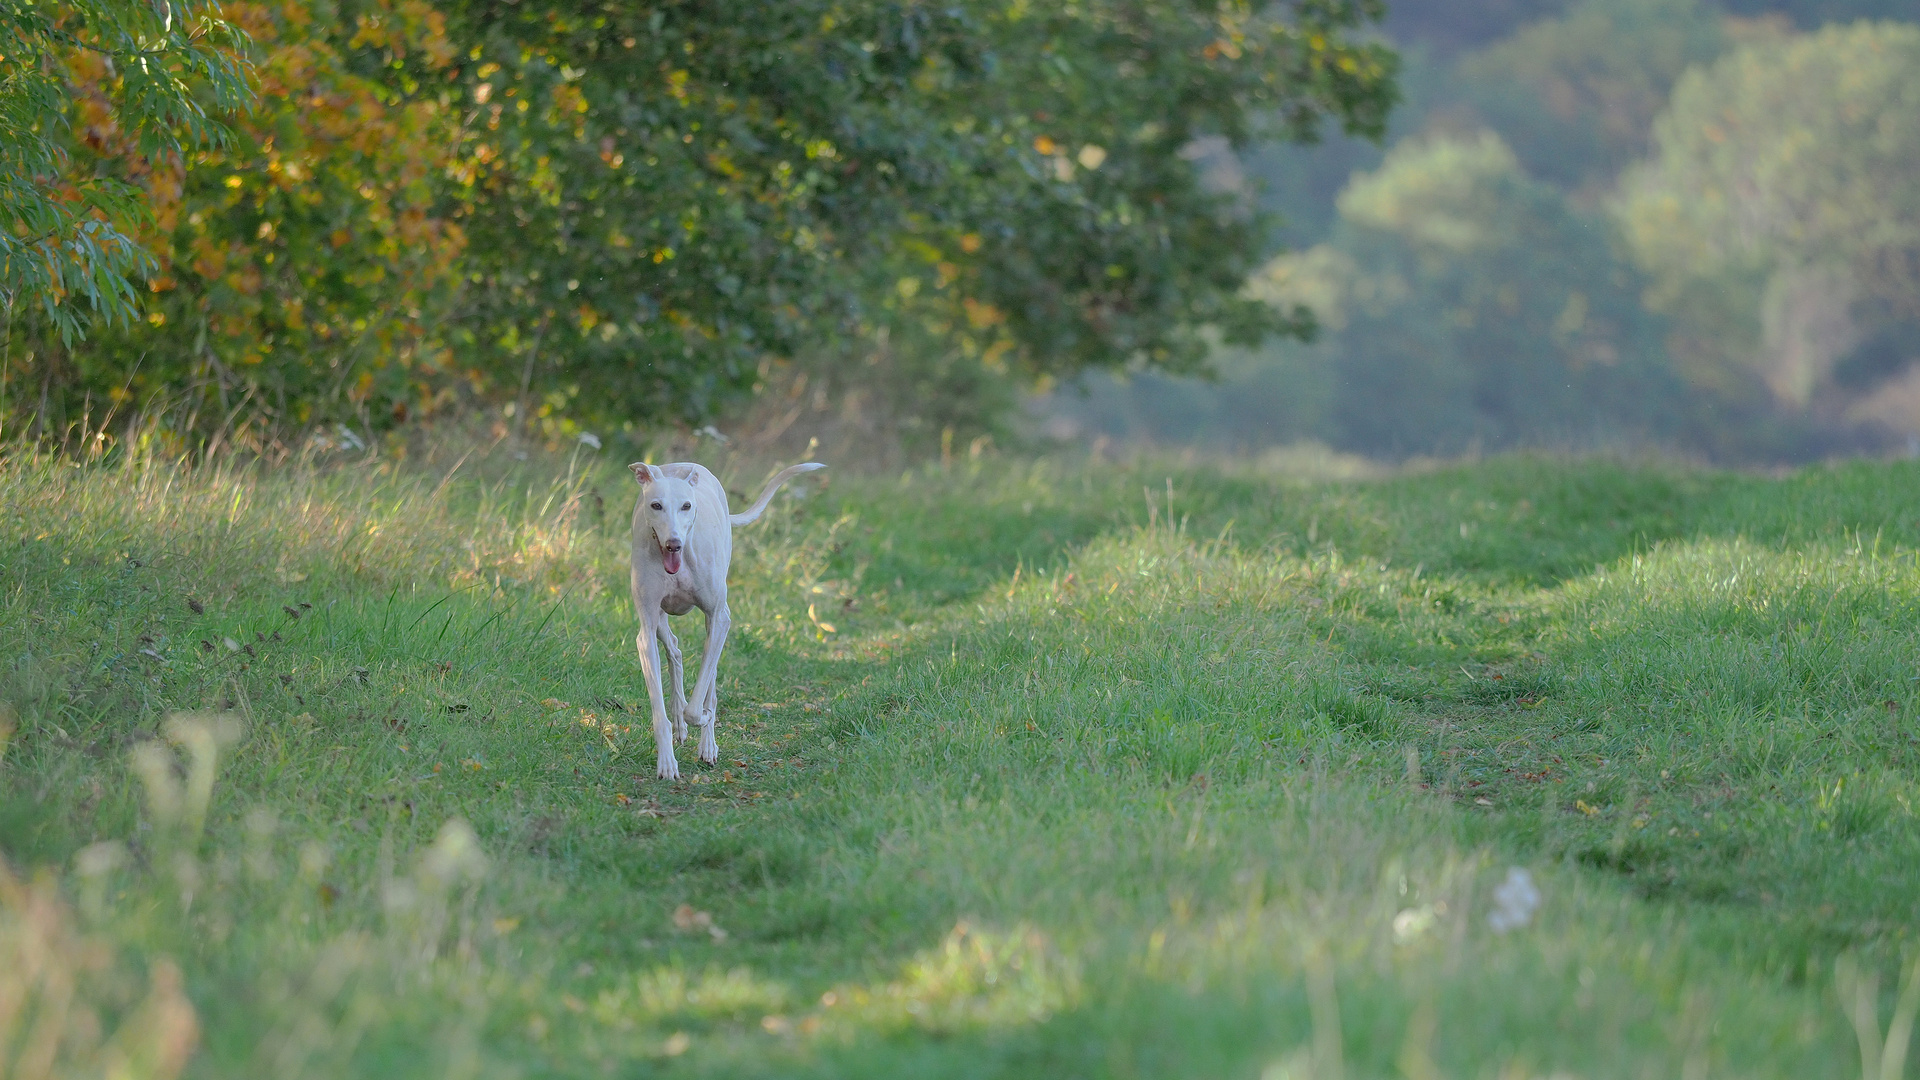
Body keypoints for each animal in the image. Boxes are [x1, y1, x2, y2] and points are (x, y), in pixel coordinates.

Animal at [622, 457, 817, 776]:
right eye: (656, 505)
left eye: (686, 506)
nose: (674, 543)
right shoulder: (646, 630)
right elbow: (659, 708)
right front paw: (666, 761)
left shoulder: (719, 617)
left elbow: (699, 702)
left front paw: (701, 718)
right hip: (661, 619)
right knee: (674, 649)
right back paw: (680, 722)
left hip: (714, 623)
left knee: (709, 681)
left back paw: (707, 743)